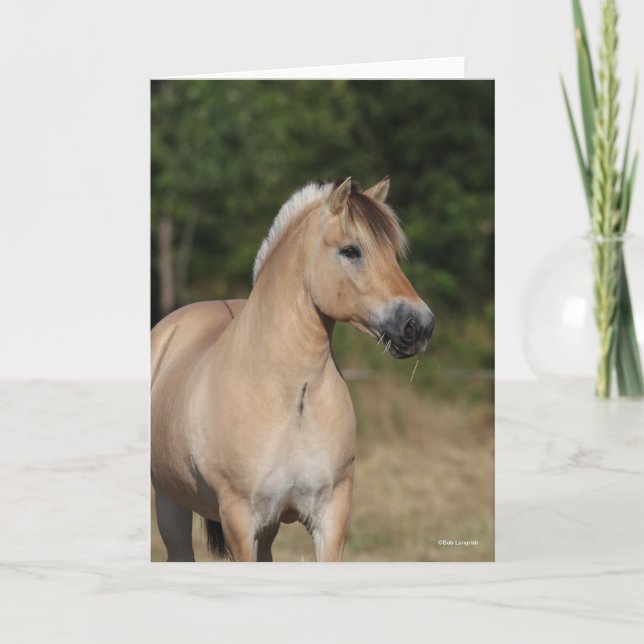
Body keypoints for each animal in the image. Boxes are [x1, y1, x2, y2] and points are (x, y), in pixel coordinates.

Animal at [151, 176, 435, 562]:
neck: (293, 394)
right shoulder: (240, 522)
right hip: (171, 506)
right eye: (351, 251)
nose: (419, 326)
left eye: (393, 253)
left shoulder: (331, 517)